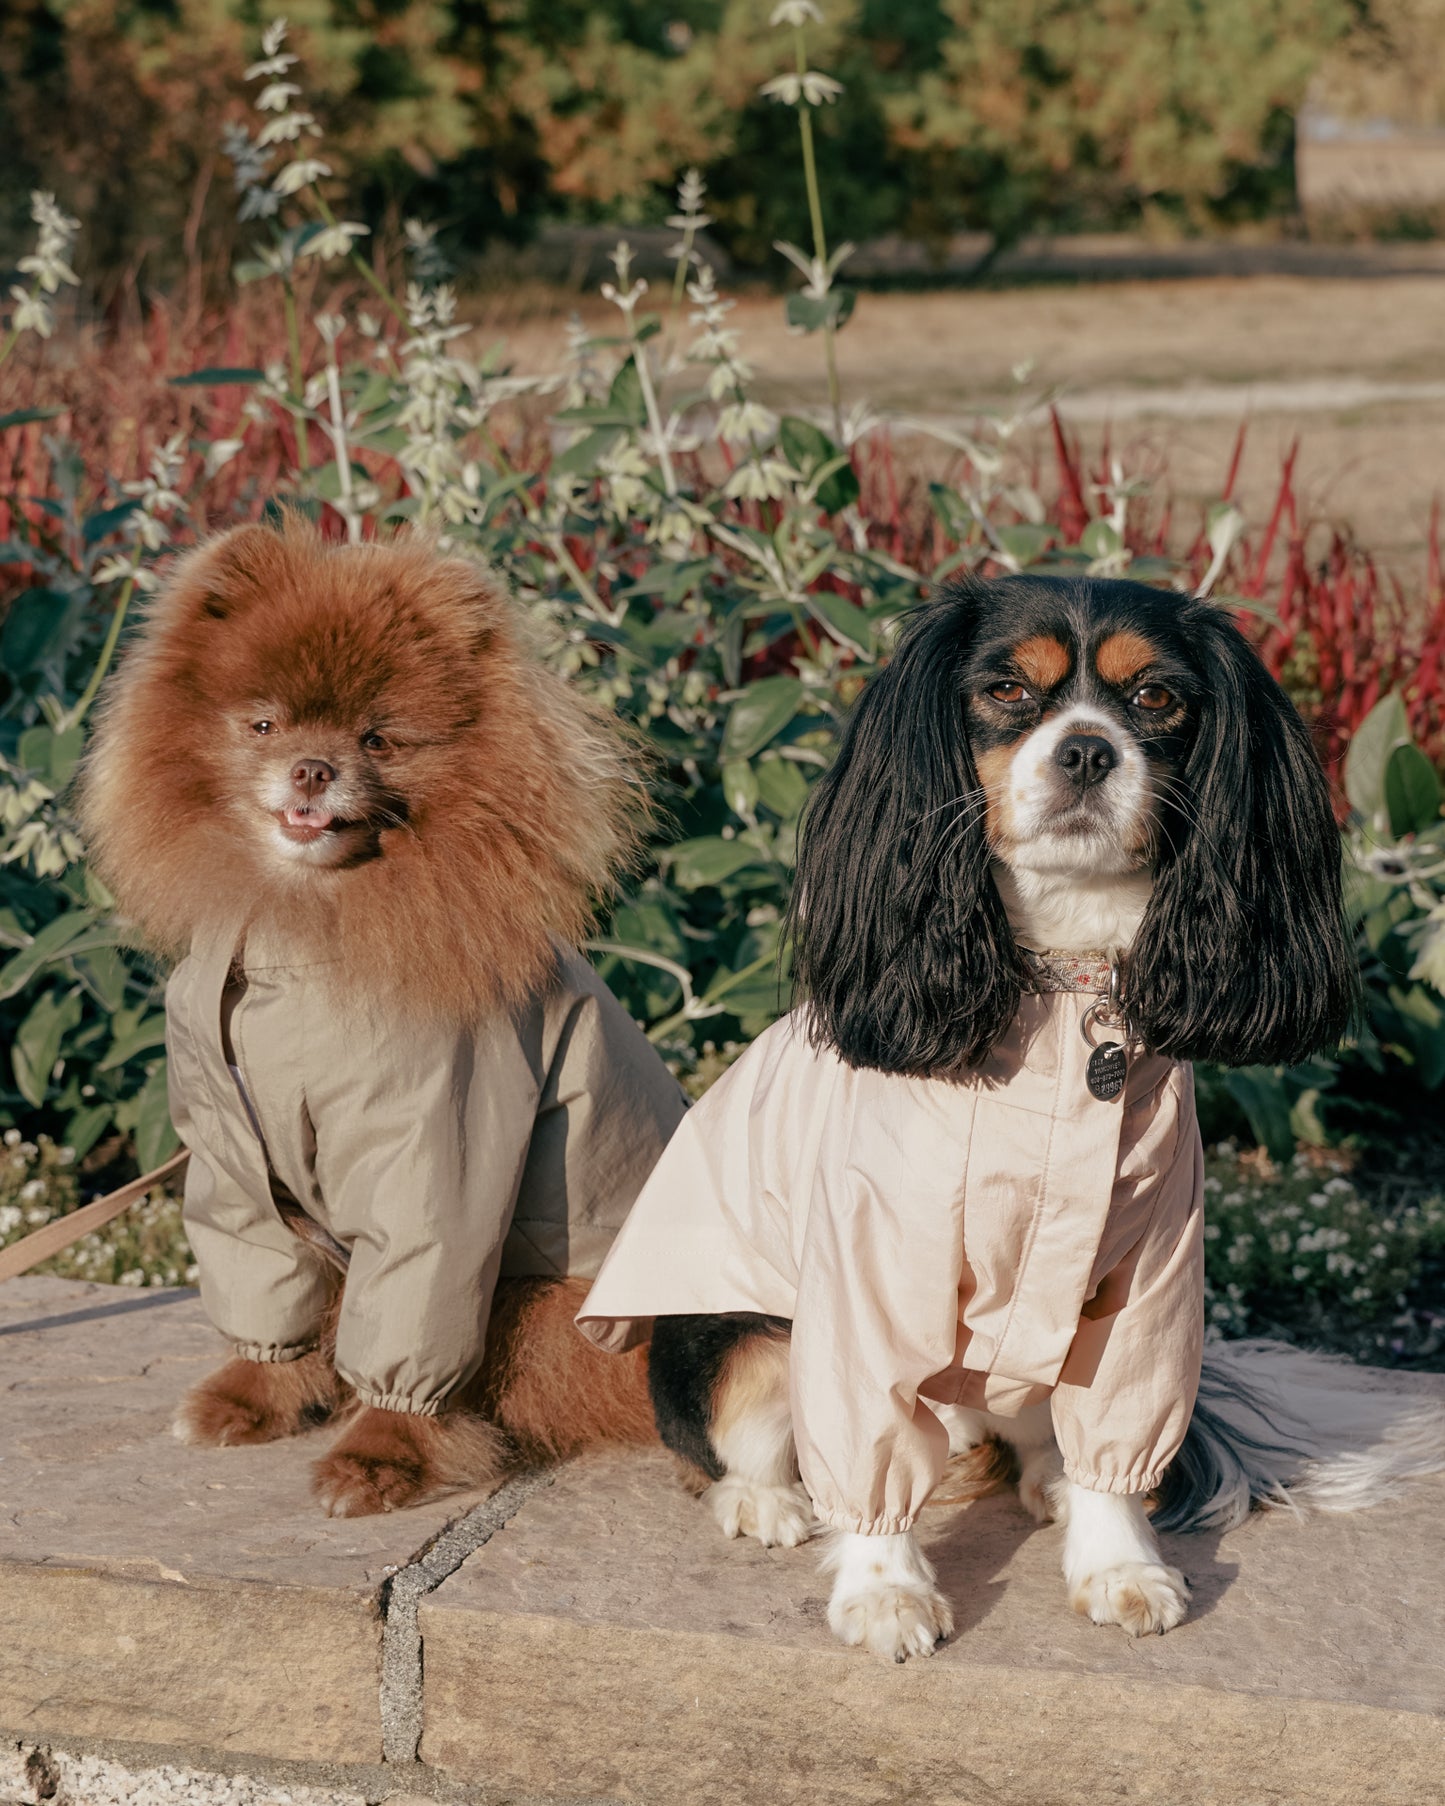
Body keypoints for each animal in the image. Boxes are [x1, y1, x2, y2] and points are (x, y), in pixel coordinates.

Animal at [80, 516, 689, 1517]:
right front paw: (255, 1395)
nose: (312, 769)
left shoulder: (435, 1163)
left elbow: (412, 1318)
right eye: (262, 724)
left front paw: (383, 1455)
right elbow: (267, 1281)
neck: (296, 950)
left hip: (550, 1302)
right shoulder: (234, 1158)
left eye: (379, 737)